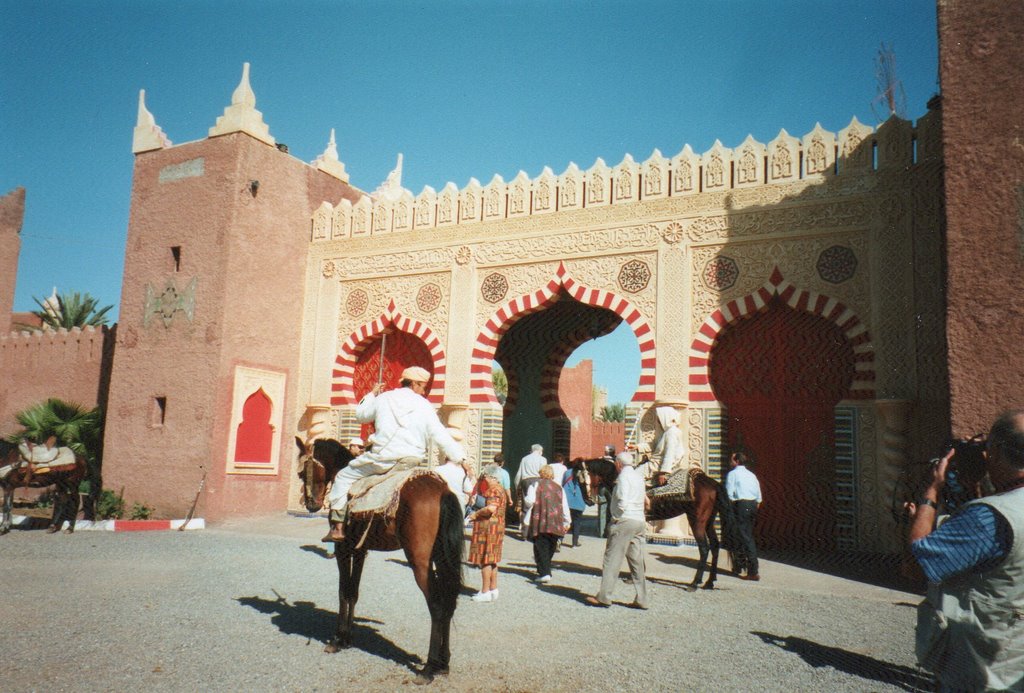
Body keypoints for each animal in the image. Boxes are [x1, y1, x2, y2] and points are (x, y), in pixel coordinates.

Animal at [292, 438, 460, 679]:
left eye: (301, 472)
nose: (311, 504)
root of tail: (442, 491)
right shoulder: (361, 550)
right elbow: (353, 592)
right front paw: (348, 638)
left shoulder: (343, 549)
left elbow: (343, 592)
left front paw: (337, 639)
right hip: (442, 558)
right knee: (448, 602)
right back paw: (443, 664)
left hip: (420, 561)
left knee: (436, 605)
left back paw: (428, 668)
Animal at [577, 458, 737, 589]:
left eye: (582, 480)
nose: (588, 501)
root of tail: (713, 483)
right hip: (708, 521)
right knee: (715, 546)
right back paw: (710, 581)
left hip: (697, 520)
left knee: (704, 548)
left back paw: (695, 583)